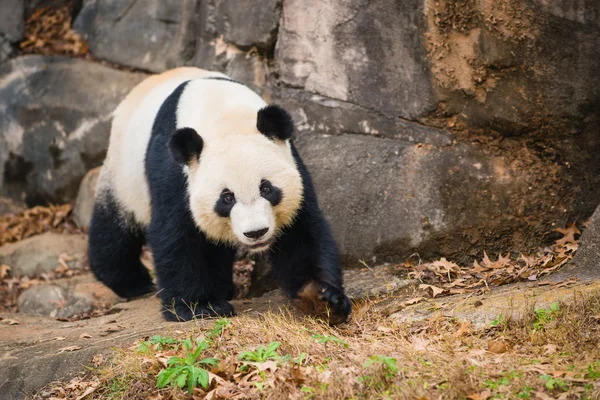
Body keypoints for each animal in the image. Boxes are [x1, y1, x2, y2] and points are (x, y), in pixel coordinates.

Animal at [88, 67, 352, 324]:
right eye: (227, 198)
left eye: (266, 188)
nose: (256, 233)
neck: (225, 117)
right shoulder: (176, 171)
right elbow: (175, 233)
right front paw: (199, 306)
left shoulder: (290, 159)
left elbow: (301, 231)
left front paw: (321, 297)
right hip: (123, 172)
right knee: (114, 229)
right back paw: (133, 282)